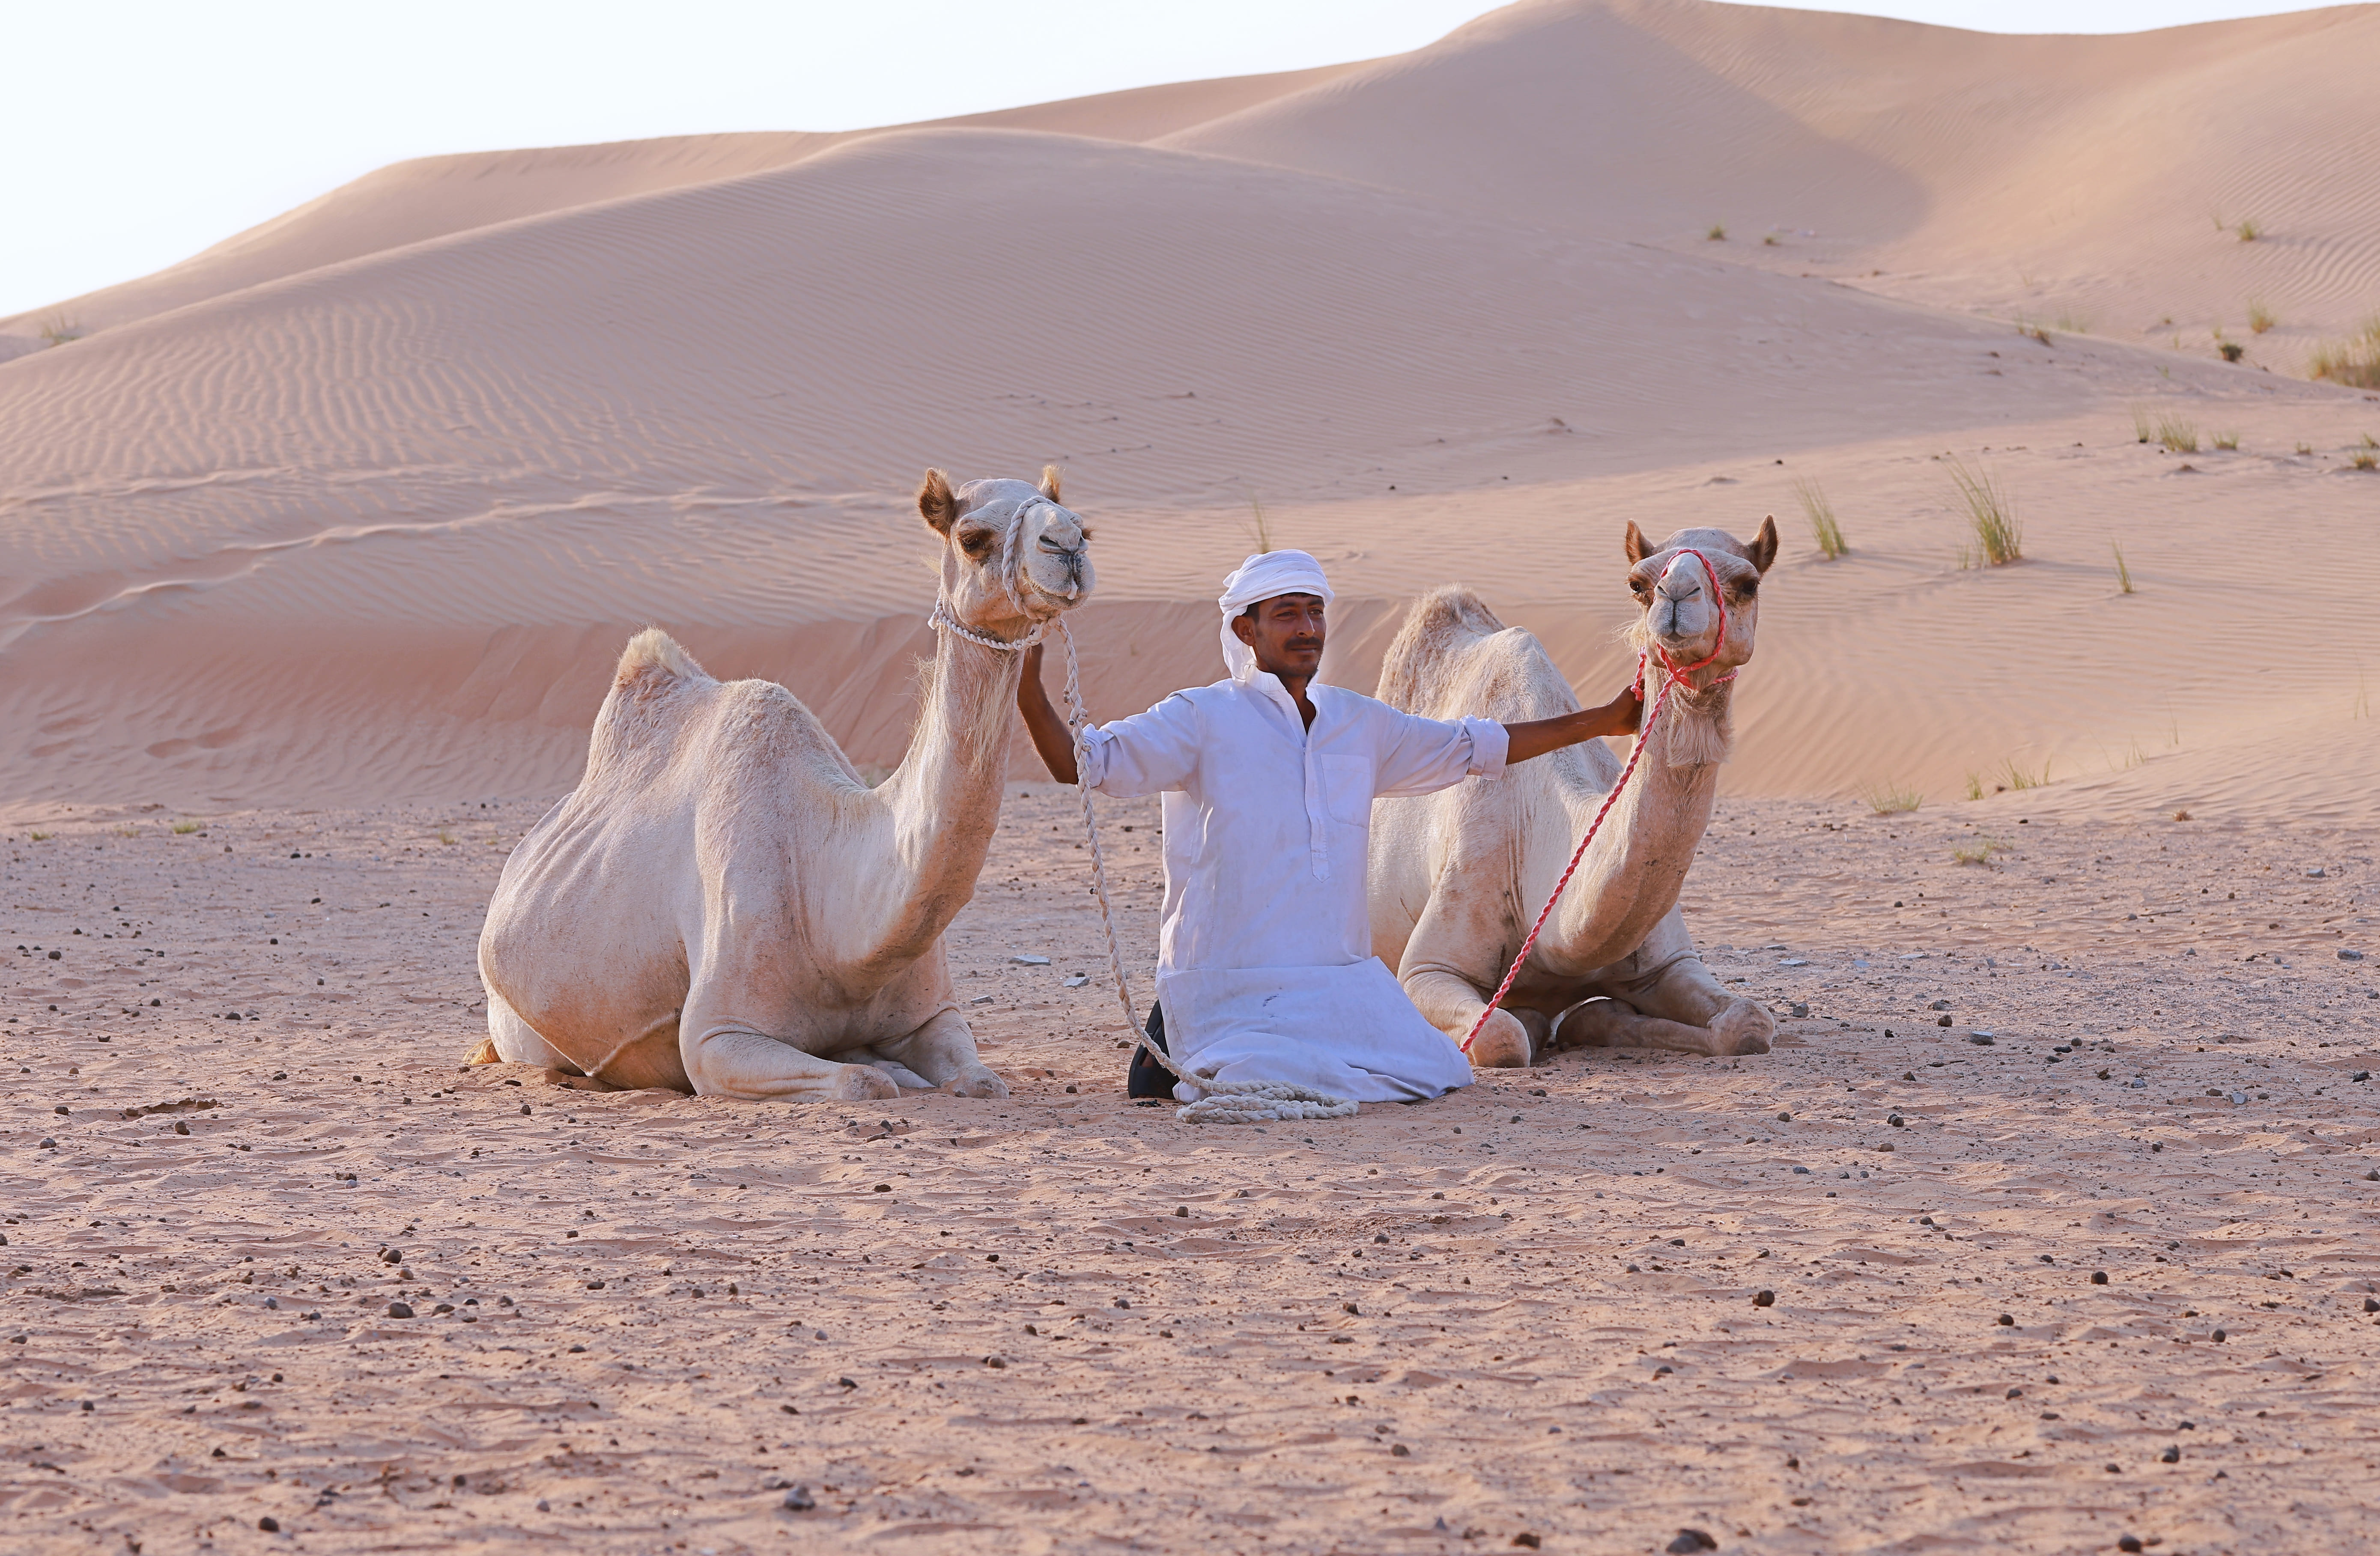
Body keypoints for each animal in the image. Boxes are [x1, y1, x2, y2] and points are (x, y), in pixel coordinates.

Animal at [472, 467, 1093, 1101]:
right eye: (971, 538)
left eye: (1080, 523)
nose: (1068, 545)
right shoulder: (716, 1036)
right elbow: (860, 1083)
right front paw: (883, 1073)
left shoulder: (934, 1014)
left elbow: (980, 1080)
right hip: (518, 1029)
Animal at [1368, 519, 1779, 1068]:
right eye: (1638, 583)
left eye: (1748, 583)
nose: (1676, 595)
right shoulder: (1428, 966)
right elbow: (1499, 1036)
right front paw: (1539, 1020)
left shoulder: (1668, 961)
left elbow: (1747, 1023)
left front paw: (1597, 1017)